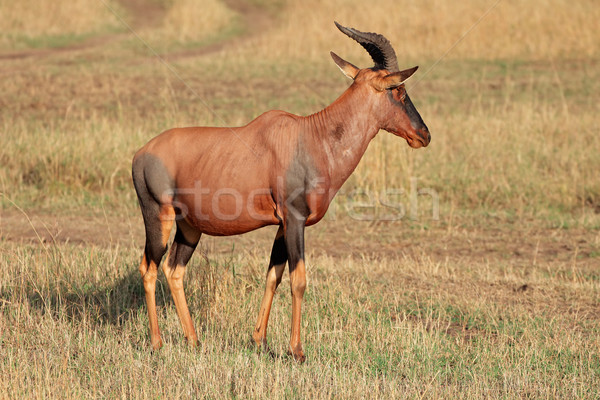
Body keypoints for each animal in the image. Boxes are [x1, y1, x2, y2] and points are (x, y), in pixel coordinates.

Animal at [132, 21, 432, 362]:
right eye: (400, 91)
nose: (424, 135)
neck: (312, 136)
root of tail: (140, 154)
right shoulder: (296, 219)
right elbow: (298, 279)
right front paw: (297, 350)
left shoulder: (282, 225)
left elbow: (272, 276)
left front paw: (259, 341)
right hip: (159, 217)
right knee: (149, 267)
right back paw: (156, 343)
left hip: (190, 227)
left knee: (174, 270)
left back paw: (194, 341)